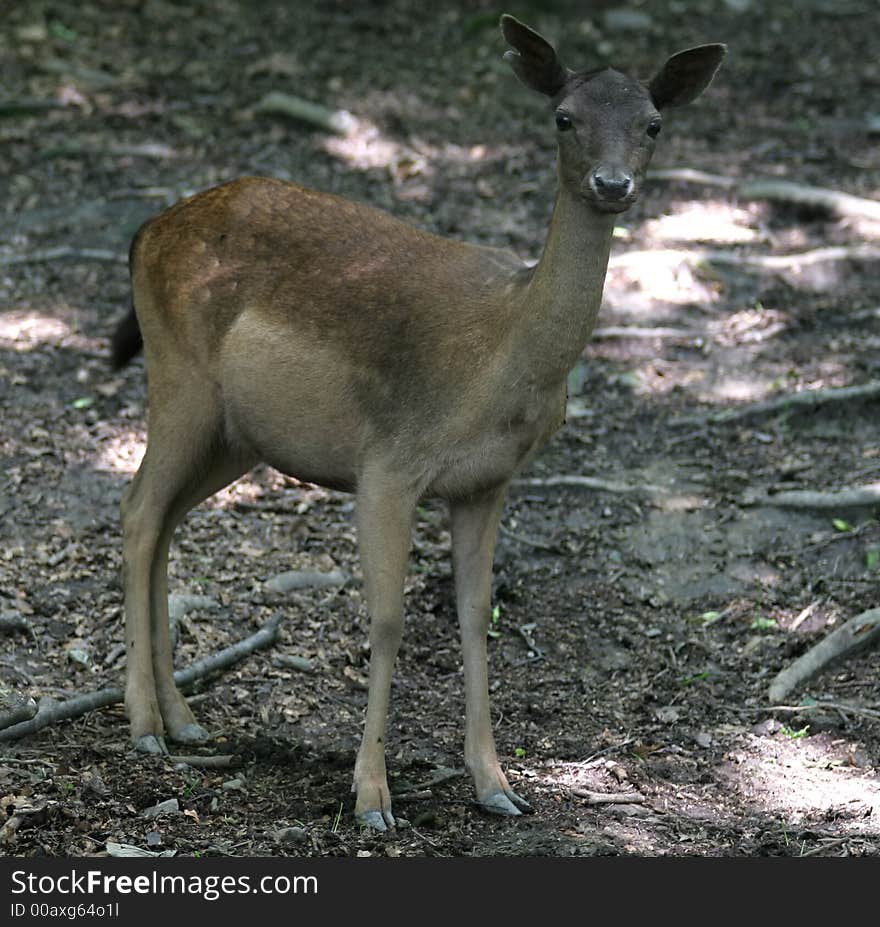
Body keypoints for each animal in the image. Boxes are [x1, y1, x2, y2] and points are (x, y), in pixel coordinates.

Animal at [110, 14, 724, 832]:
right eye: (564, 118)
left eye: (654, 123)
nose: (612, 183)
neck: (499, 365)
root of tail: (144, 232)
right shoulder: (388, 465)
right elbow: (388, 620)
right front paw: (372, 796)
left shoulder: (488, 483)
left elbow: (473, 615)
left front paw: (495, 784)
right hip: (178, 379)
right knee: (139, 507)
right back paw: (145, 724)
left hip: (236, 434)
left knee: (167, 518)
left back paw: (183, 717)